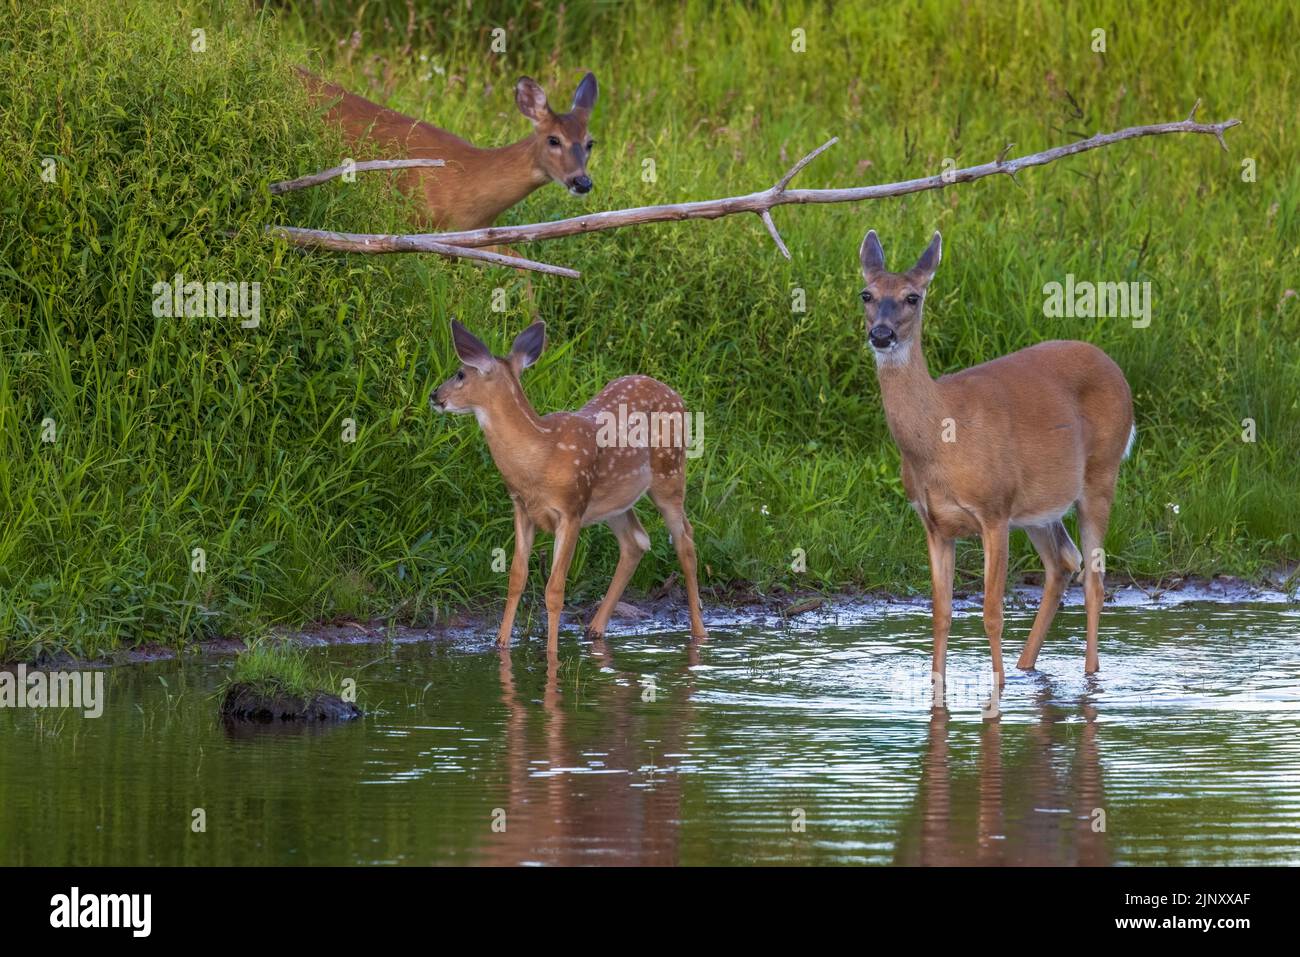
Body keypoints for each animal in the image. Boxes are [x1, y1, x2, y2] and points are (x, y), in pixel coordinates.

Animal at [431, 317, 707, 647]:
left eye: (460, 373)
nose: (434, 396)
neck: (539, 457)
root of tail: (678, 396)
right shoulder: (522, 508)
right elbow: (516, 578)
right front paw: (501, 644)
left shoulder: (571, 509)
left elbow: (554, 590)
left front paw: (552, 654)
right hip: (614, 500)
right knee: (636, 541)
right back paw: (595, 629)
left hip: (669, 474)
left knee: (685, 541)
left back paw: (699, 633)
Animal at [863, 230, 1138, 681]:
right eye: (866, 294)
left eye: (912, 297)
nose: (881, 334)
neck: (941, 440)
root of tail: (1115, 367)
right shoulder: (934, 523)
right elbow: (941, 613)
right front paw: (939, 686)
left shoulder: (994, 510)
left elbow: (992, 612)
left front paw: (998, 687)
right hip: (1038, 505)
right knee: (1064, 562)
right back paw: (1027, 665)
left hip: (1101, 473)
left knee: (1095, 578)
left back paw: (1089, 674)